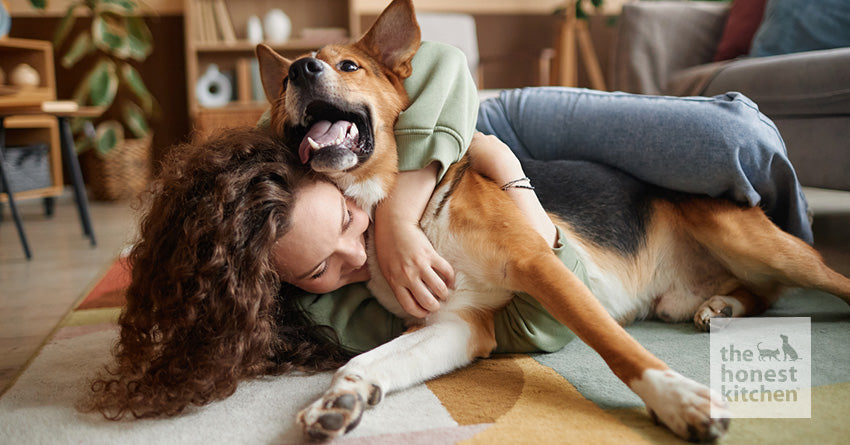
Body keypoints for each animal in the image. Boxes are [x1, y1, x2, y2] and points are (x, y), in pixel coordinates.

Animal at [255, 0, 848, 438]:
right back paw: (723, 305)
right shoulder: (457, 324)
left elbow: (618, 348)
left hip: (754, 242)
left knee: (820, 280)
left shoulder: (539, 264)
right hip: (689, 291)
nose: (301, 70)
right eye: (284, 83)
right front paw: (342, 397)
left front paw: (677, 399)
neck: (397, 214)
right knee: (760, 294)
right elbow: (367, 361)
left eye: (347, 66)